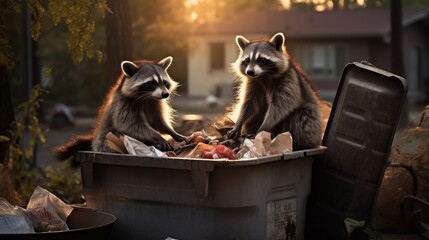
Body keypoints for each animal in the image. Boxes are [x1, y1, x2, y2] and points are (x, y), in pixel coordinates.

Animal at [56, 56, 185, 166]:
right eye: (151, 83)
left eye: (164, 82)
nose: (165, 94)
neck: (147, 97)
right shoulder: (123, 104)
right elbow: (130, 125)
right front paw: (157, 135)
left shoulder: (154, 103)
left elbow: (157, 121)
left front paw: (171, 131)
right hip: (105, 141)